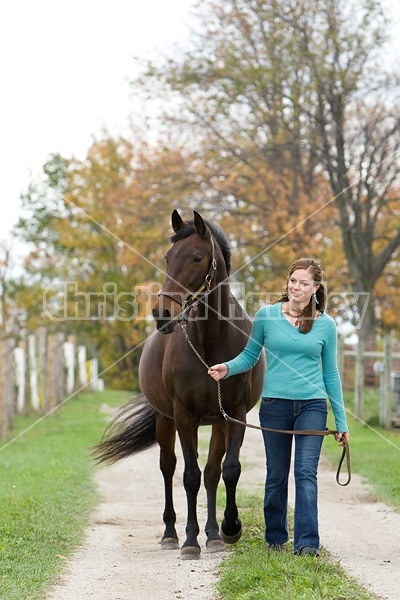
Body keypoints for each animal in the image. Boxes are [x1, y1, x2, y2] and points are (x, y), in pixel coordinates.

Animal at [94, 210, 266, 556]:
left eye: (196, 257)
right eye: (167, 257)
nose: (162, 314)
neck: (213, 343)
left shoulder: (236, 415)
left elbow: (229, 469)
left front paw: (229, 529)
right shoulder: (184, 416)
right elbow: (188, 476)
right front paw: (189, 540)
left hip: (217, 422)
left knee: (212, 473)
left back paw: (213, 534)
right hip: (166, 420)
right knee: (169, 467)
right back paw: (171, 533)